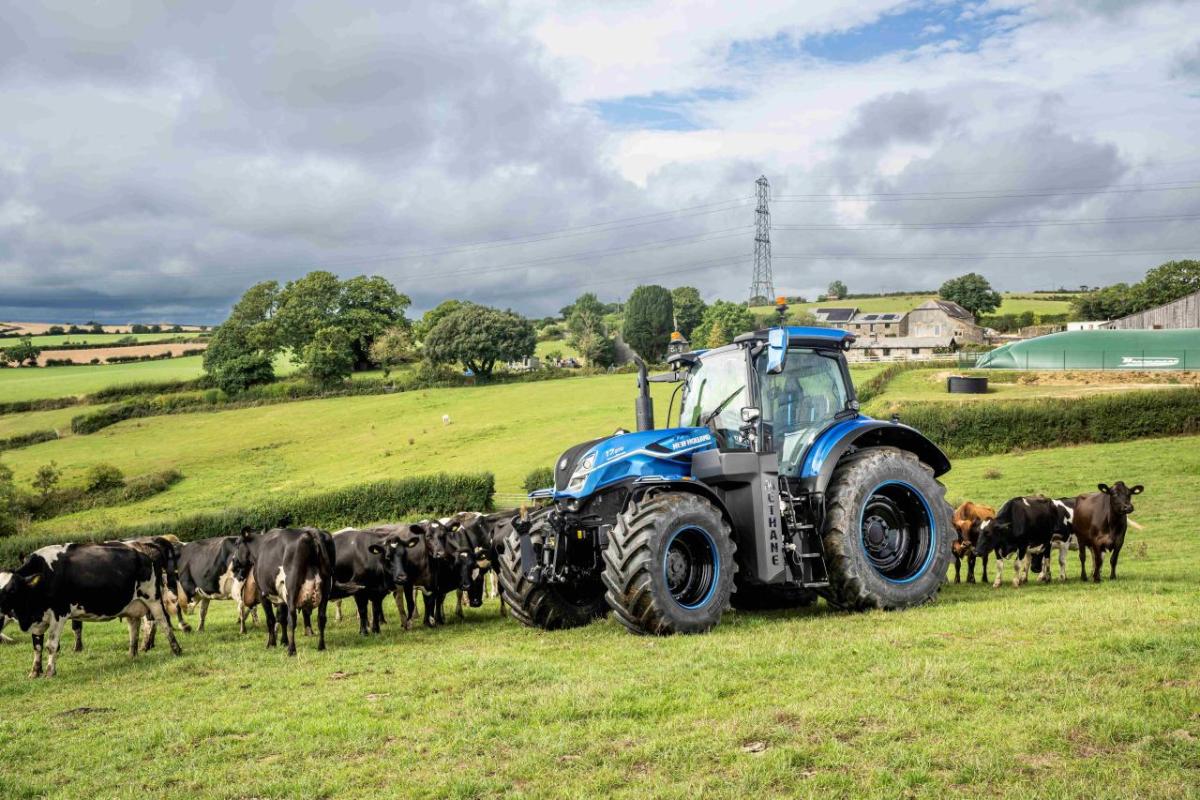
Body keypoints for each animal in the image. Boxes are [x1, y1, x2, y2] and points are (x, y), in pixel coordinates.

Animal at [0, 542, 181, 681]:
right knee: (134, 626)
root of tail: (145, 549)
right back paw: (132, 654)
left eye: (12, 589)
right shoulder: (37, 620)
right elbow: (37, 647)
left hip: (153, 598)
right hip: (131, 605)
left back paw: (176, 650)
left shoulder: (59, 615)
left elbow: (51, 645)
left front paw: (50, 672)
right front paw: (35, 672)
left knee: (163, 622)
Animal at [231, 525, 333, 657]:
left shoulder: (263, 593)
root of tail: (310, 531)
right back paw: (321, 646)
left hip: (292, 589)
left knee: (292, 619)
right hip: (326, 589)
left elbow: (271, 619)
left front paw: (271, 644)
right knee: (321, 618)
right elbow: (282, 618)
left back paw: (292, 650)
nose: (233, 563)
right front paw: (283, 641)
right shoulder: (281, 595)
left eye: (237, 544)